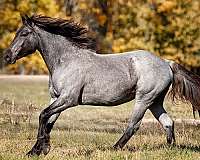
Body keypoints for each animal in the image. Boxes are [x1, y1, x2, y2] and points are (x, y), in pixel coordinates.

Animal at [3, 14, 200, 157]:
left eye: (24, 33)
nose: (6, 56)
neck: (66, 61)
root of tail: (166, 62)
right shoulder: (56, 98)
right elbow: (49, 121)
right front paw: (38, 150)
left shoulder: (68, 99)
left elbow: (43, 115)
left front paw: (40, 149)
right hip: (155, 102)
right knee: (168, 122)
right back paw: (170, 149)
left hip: (144, 99)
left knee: (133, 125)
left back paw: (114, 148)